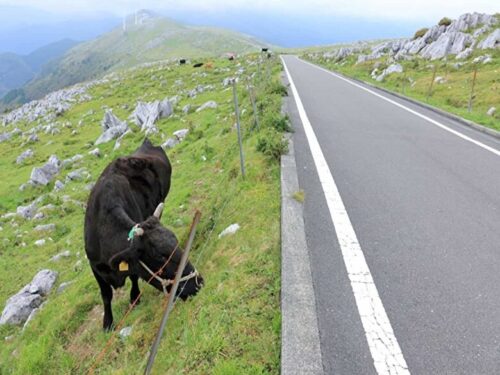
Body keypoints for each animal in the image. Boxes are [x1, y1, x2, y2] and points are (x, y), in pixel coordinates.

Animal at [84, 140, 203, 330]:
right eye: (160, 257)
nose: (199, 283)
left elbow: (134, 277)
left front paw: (134, 298)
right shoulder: (95, 266)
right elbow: (106, 294)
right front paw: (107, 323)